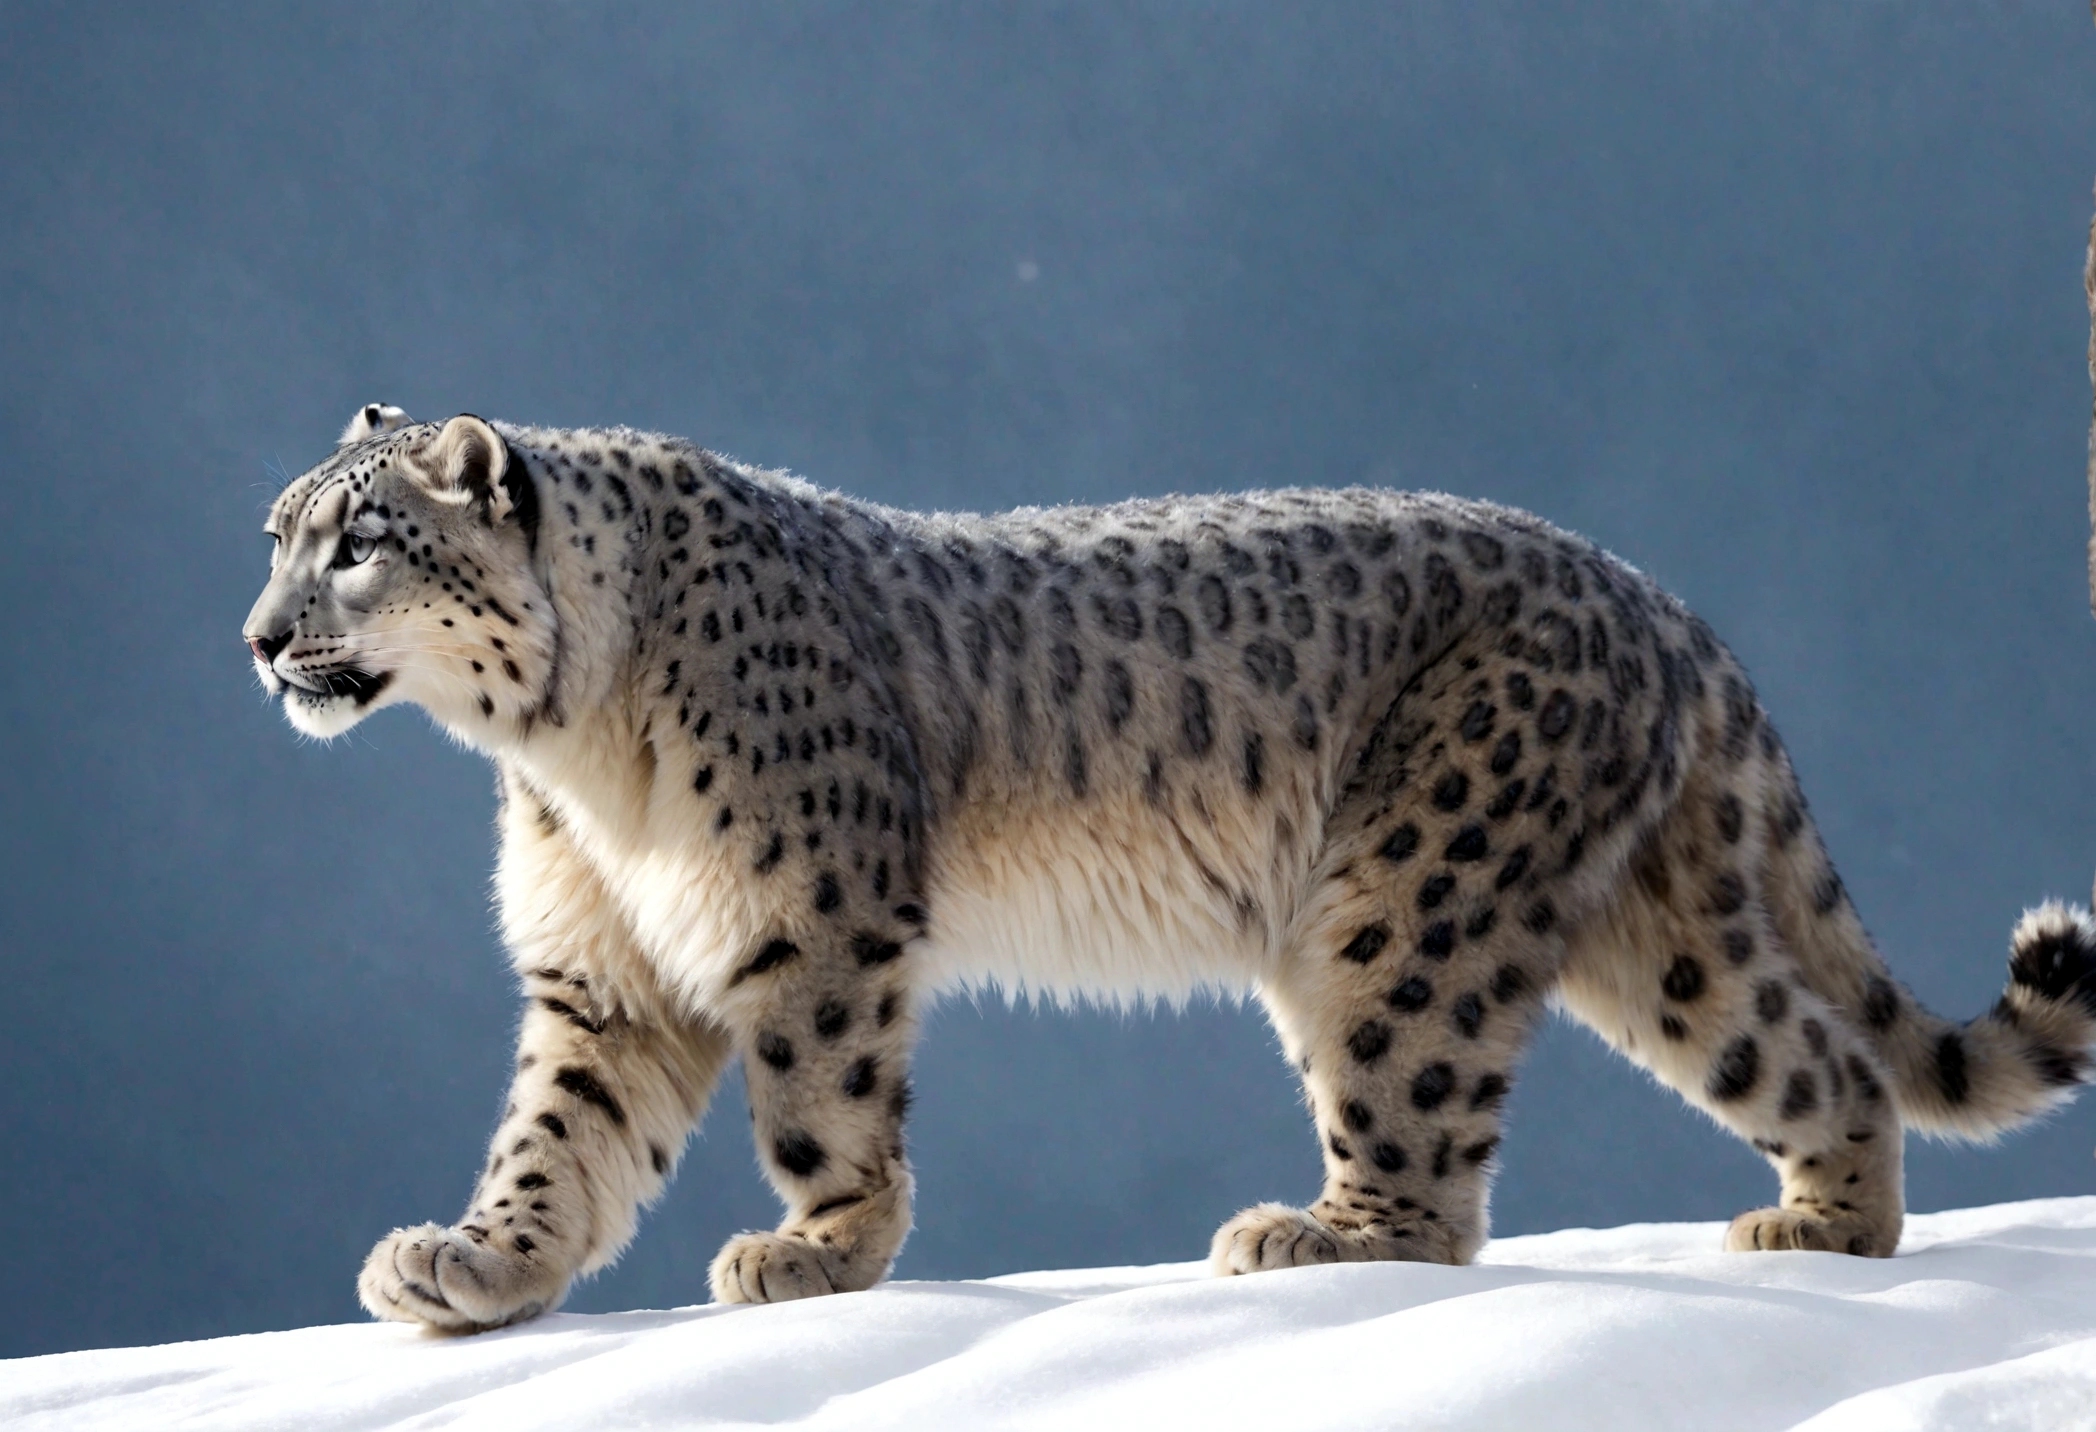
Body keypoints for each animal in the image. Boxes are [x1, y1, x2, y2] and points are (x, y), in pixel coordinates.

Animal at [245, 402, 2096, 1333]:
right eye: (276, 532)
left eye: (360, 541)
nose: (260, 639)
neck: (575, 756)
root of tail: (1655, 598)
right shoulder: (602, 966)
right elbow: (557, 1135)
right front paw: (478, 1266)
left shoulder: (810, 911)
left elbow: (818, 1101)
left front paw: (819, 1254)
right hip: (1657, 932)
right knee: (1813, 1052)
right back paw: (1821, 1227)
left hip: (1401, 903)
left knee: (1431, 1151)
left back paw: (1317, 1234)